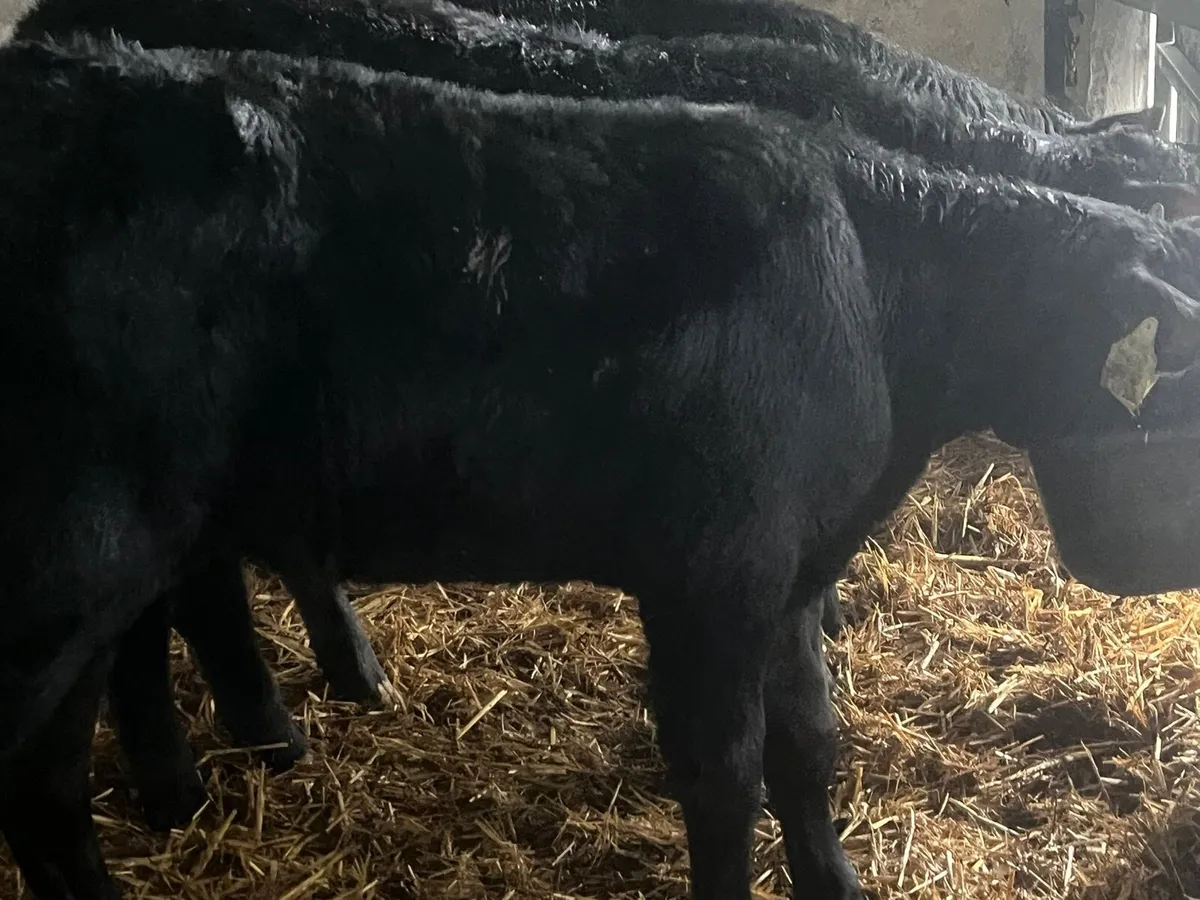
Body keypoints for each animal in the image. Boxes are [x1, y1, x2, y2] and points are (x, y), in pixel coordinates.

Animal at [5, 34, 1200, 900]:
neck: (873, 286)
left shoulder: (791, 570)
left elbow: (809, 745)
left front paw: (836, 883)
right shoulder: (711, 575)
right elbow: (723, 776)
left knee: (73, 749)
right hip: (70, 558)